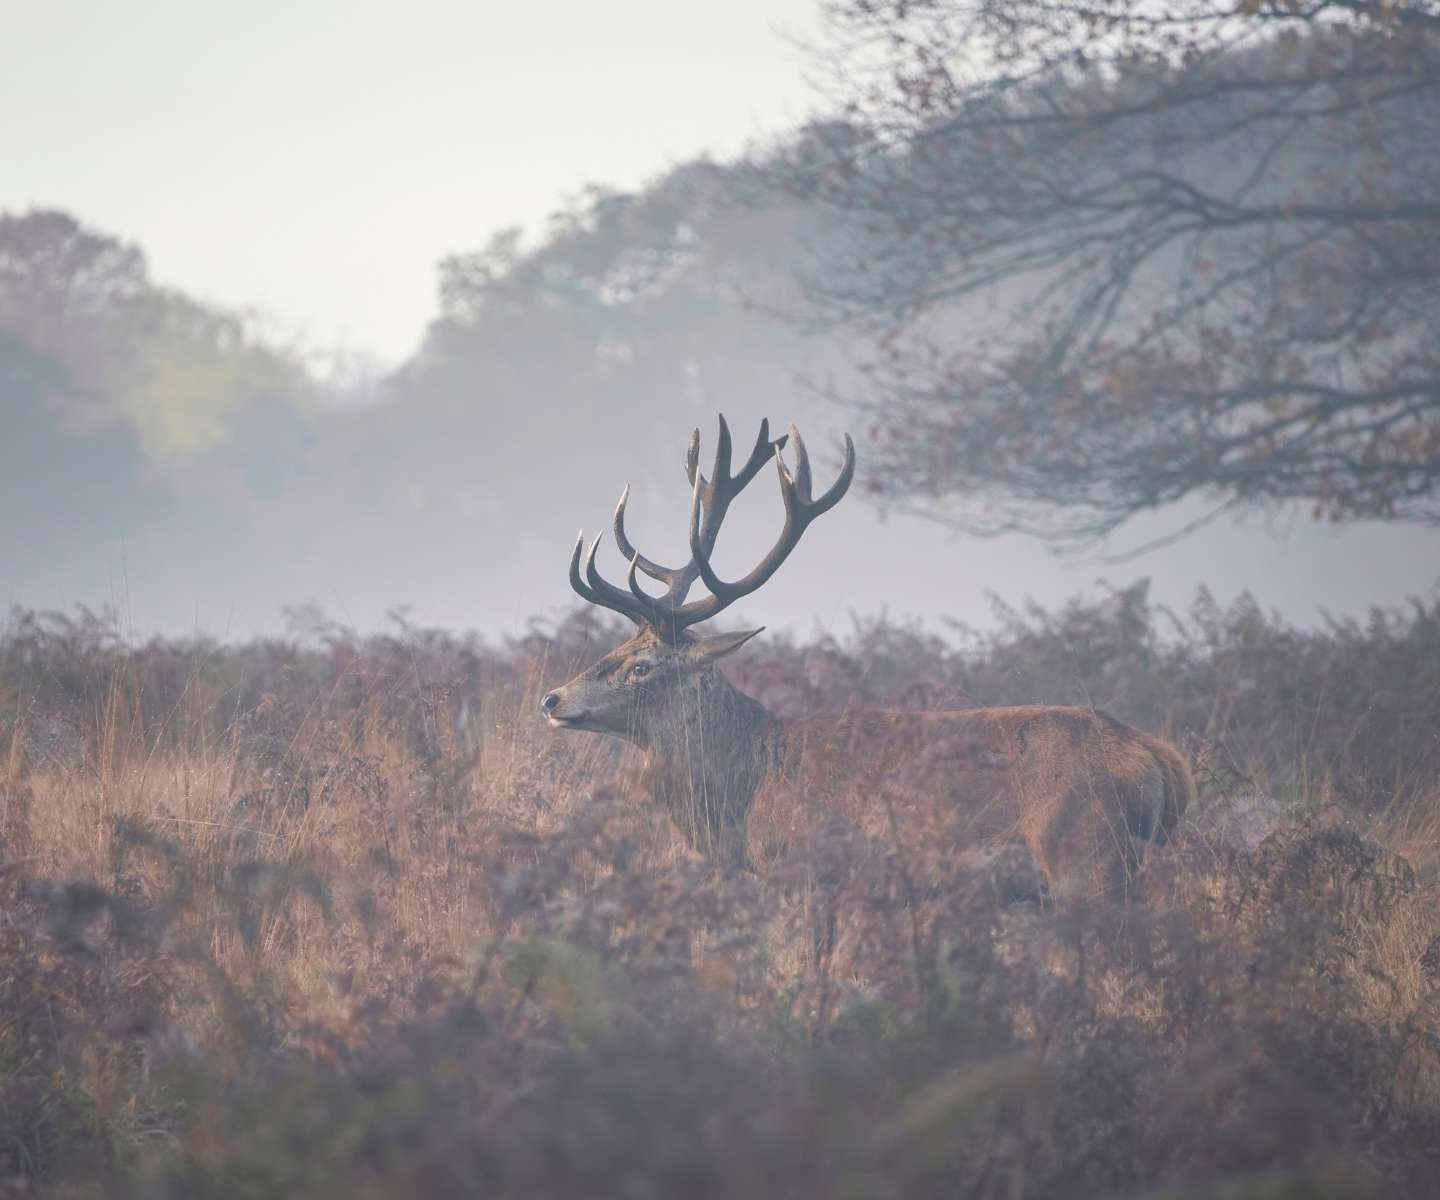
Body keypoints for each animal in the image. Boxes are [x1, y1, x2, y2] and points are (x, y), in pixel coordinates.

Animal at [541, 417, 1192, 900]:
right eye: (617, 648)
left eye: (642, 666)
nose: (552, 698)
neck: (744, 792)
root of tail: (1163, 761)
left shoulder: (812, 872)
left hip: (1086, 858)